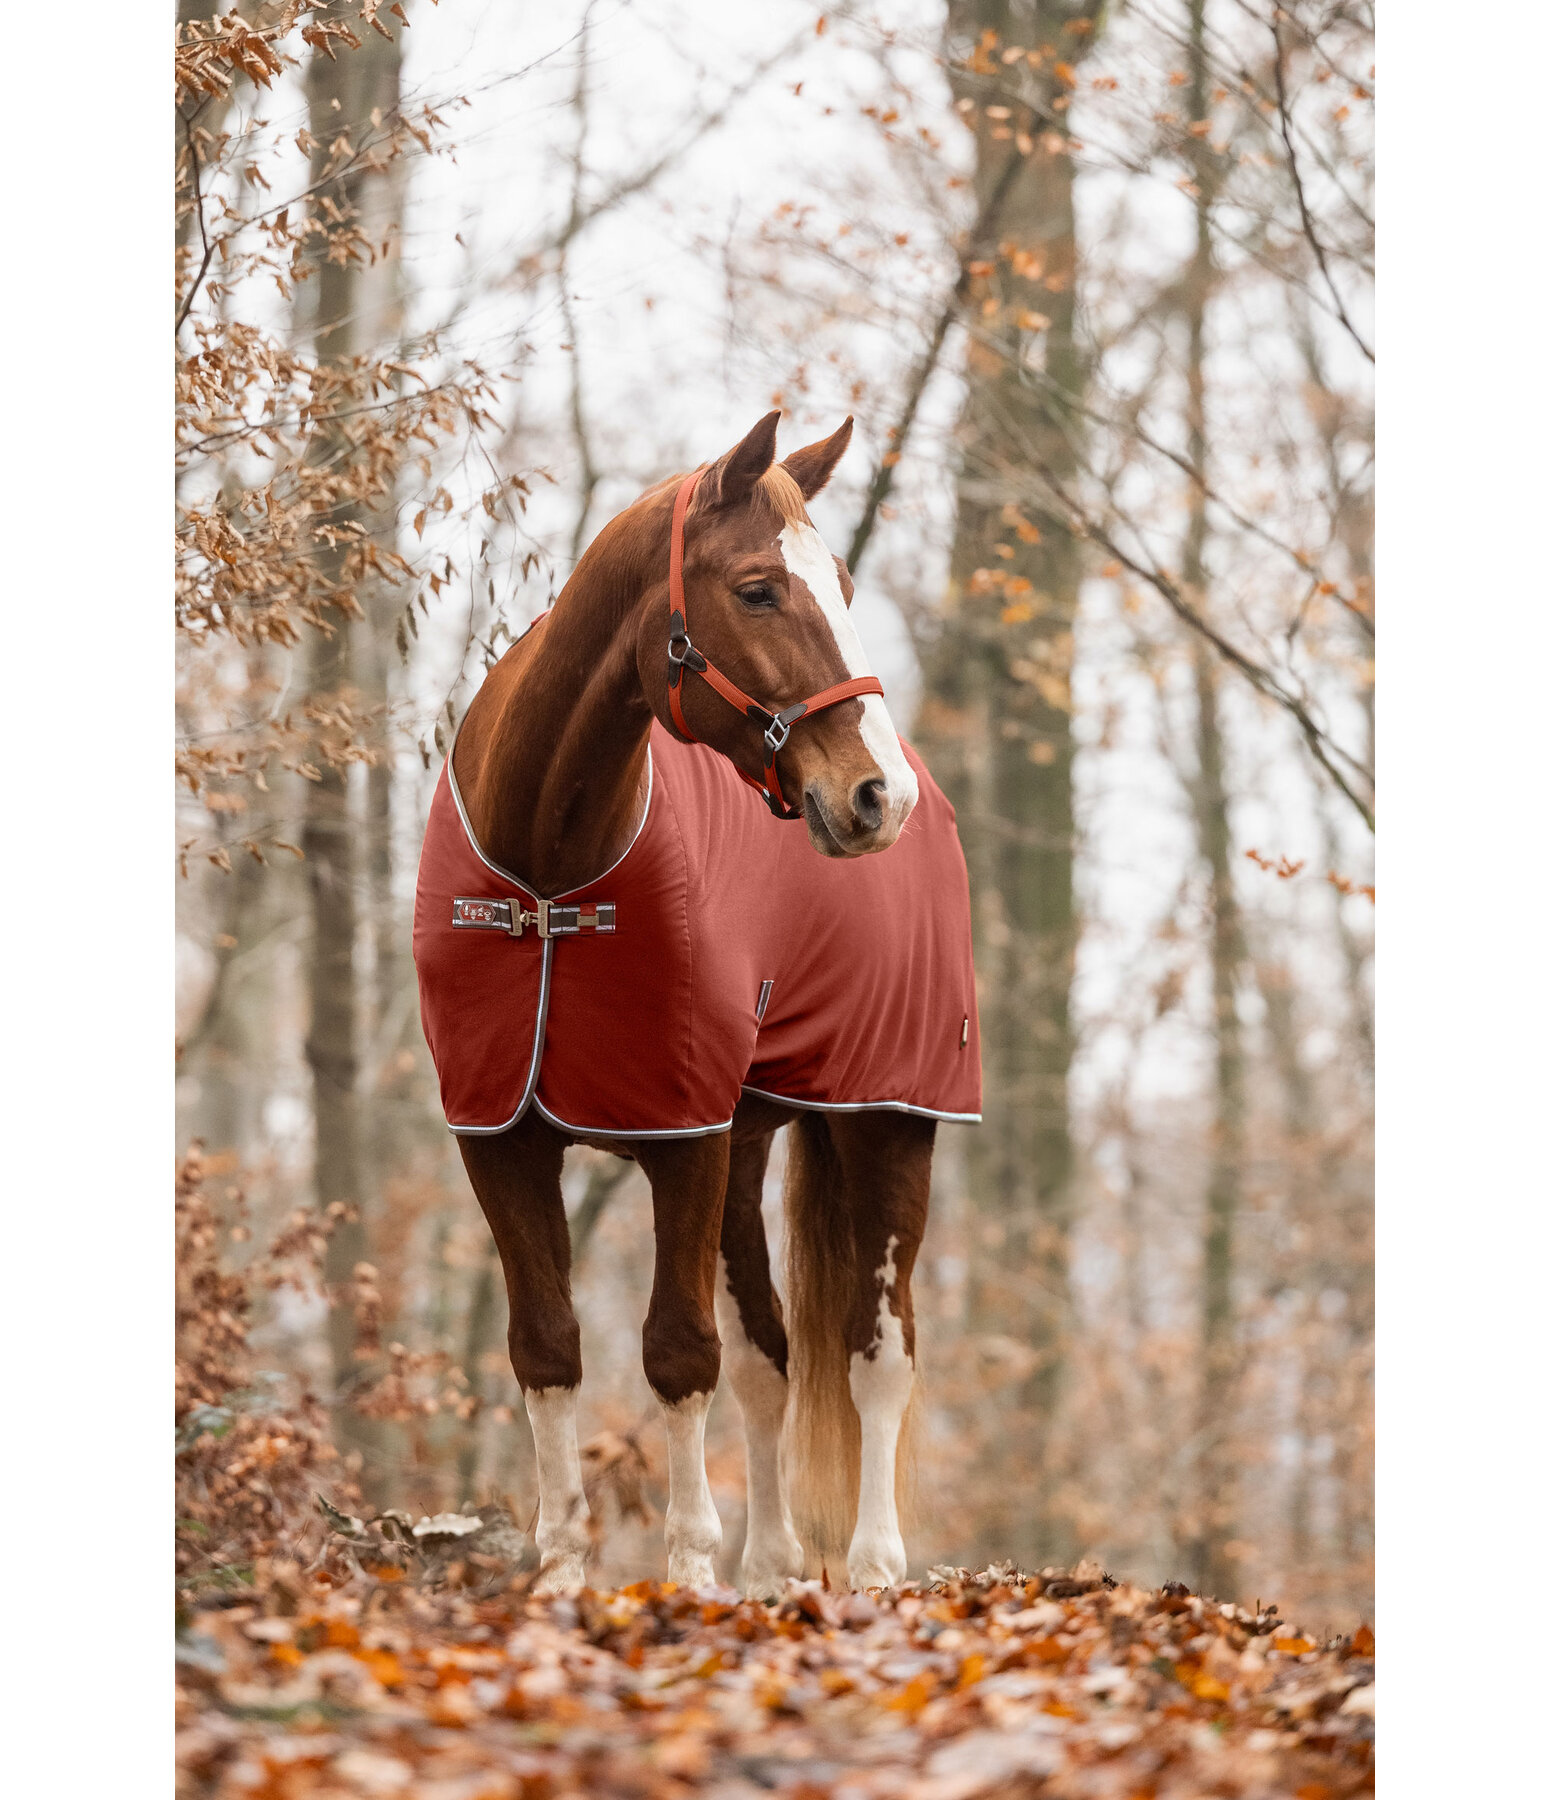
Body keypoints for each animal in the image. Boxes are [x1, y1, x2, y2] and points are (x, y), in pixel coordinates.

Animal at [405, 414, 972, 1598]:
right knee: (773, 1358)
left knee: (877, 1349)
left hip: (888, 1122)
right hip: (747, 1147)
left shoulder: (683, 1138)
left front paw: (686, 1574)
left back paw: (872, 1567)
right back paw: (773, 1566)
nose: (875, 797)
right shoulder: (500, 1136)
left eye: (844, 584)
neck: (550, 876)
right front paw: (564, 1573)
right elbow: (548, 1346)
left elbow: (677, 1351)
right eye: (758, 590)